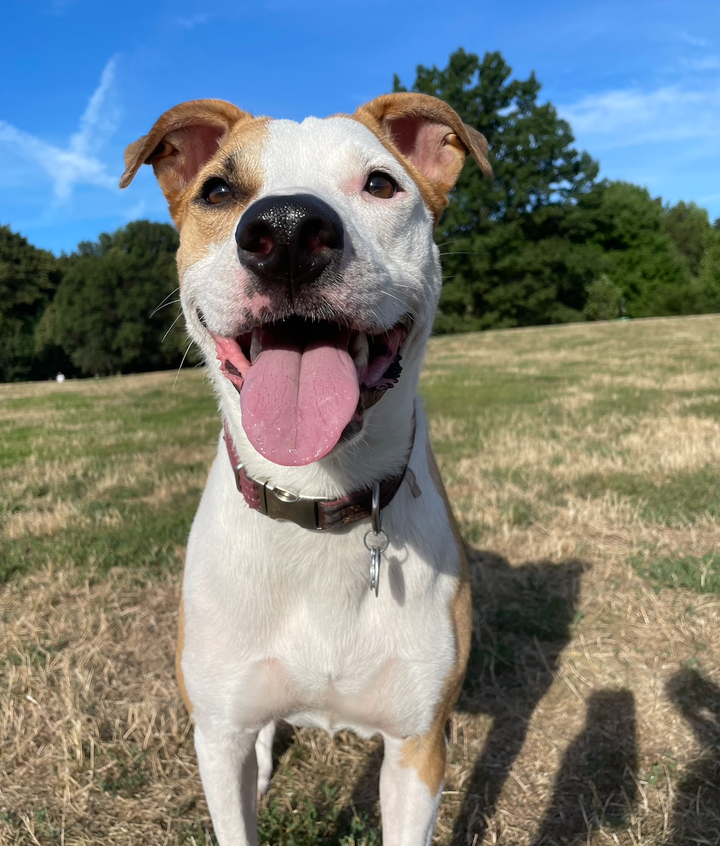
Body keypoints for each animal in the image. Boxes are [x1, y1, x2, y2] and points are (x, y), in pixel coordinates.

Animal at [121, 94, 492, 846]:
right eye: (219, 192)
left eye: (380, 183)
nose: (287, 231)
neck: (319, 496)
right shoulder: (218, 735)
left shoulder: (418, 746)